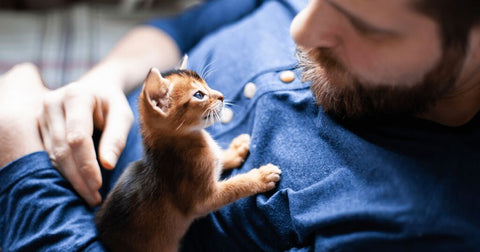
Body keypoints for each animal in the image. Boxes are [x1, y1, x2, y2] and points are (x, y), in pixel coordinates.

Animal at [94, 61, 282, 252]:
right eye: (199, 95)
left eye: (207, 85)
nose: (221, 96)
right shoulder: (203, 200)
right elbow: (235, 186)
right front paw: (260, 177)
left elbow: (219, 158)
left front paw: (235, 150)